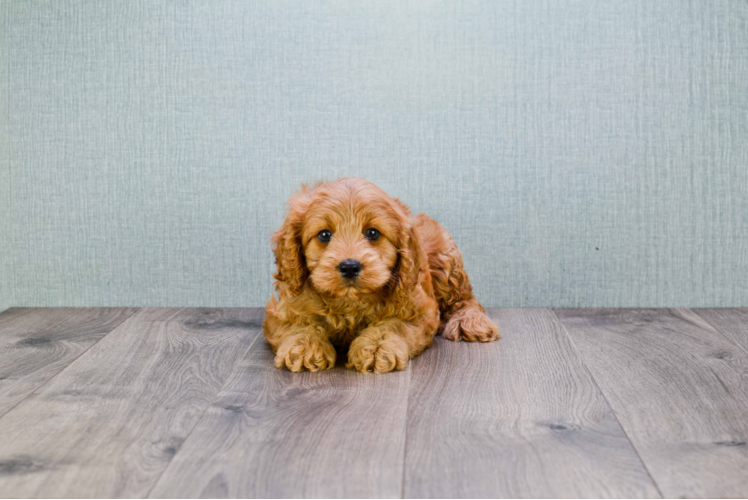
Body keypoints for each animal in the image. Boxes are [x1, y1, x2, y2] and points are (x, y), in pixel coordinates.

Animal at [260, 178, 500, 374]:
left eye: (373, 233)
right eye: (324, 235)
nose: (349, 266)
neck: (349, 301)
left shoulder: (418, 310)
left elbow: (392, 325)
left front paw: (376, 347)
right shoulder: (283, 311)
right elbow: (299, 324)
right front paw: (305, 346)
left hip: (446, 264)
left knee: (466, 299)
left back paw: (471, 322)